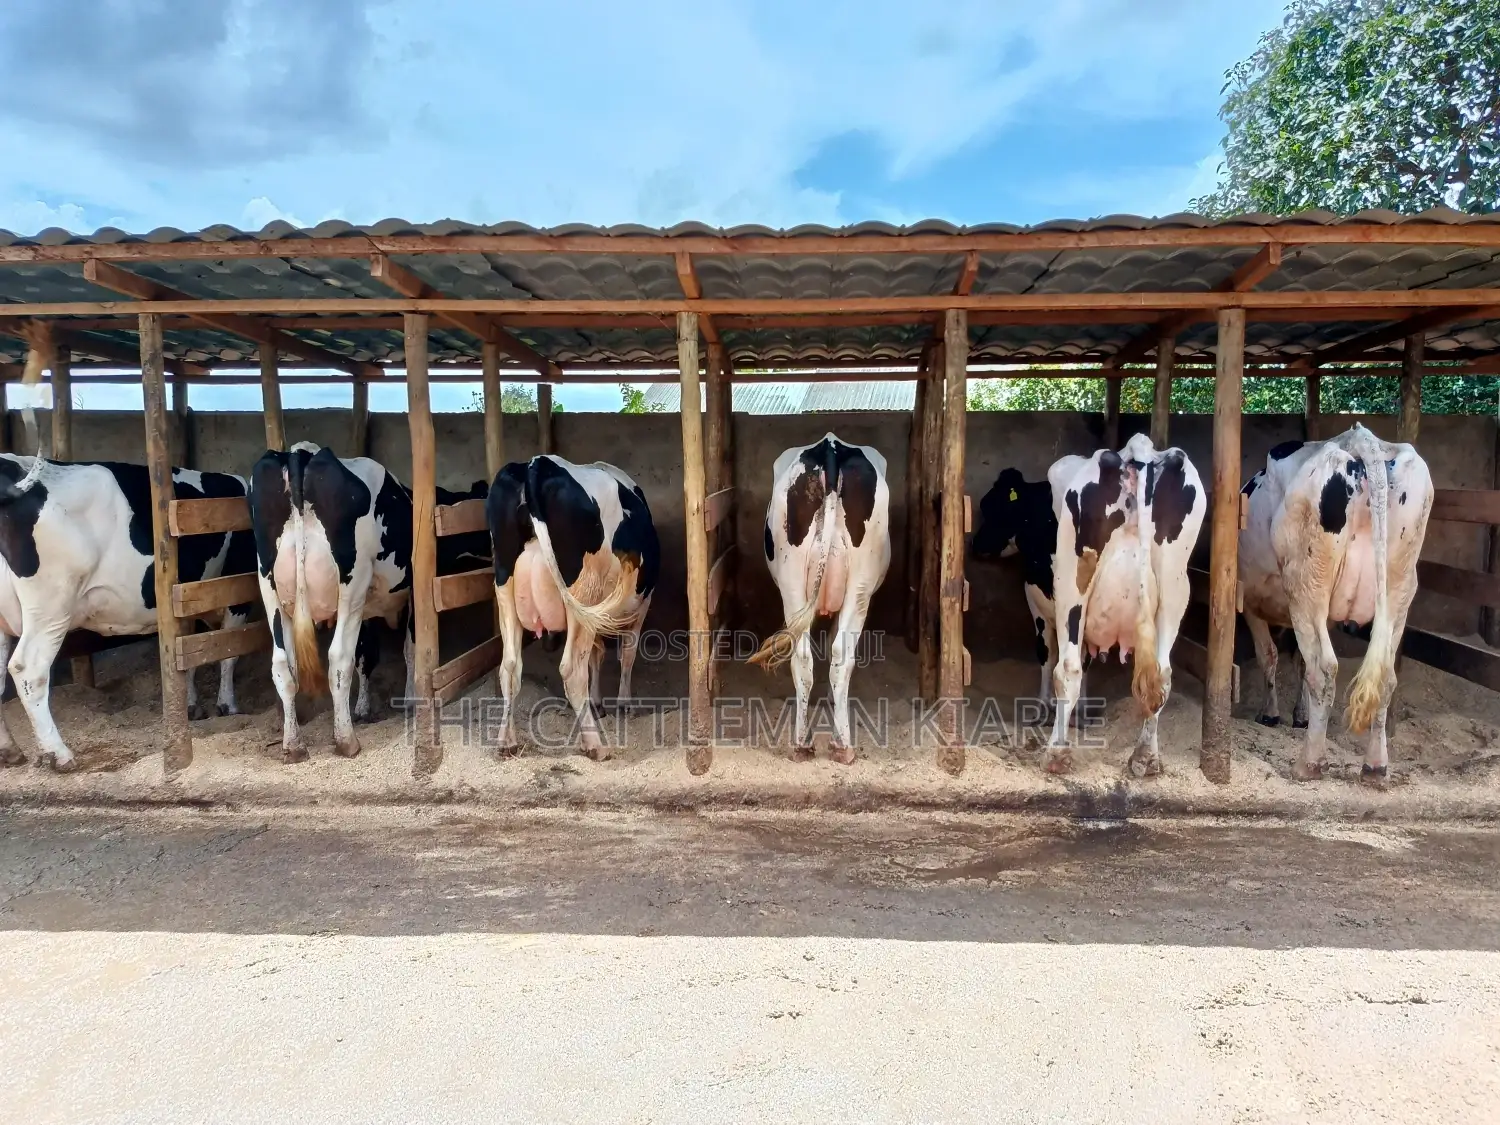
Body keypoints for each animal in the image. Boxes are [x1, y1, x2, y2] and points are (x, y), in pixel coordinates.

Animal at [0, 455, 256, 772]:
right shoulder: (238, 593)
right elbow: (229, 652)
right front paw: (228, 705)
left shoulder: (185, 603)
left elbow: (187, 660)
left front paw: (190, 704)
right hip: (51, 605)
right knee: (29, 670)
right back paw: (59, 754)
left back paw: (10, 750)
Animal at [487, 455, 659, 758]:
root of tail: (537, 464)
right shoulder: (641, 606)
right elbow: (627, 654)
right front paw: (623, 704)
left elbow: (597, 656)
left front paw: (599, 703)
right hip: (583, 589)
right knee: (571, 670)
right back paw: (595, 745)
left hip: (505, 584)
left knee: (509, 666)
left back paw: (506, 742)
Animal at [747, 434, 891, 764]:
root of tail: (831, 447)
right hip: (860, 585)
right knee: (841, 655)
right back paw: (841, 744)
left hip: (792, 583)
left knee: (804, 656)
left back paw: (803, 743)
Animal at [1044, 434, 1206, 777]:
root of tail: (1137, 452)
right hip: (1175, 584)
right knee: (1162, 674)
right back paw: (1146, 757)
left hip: (1071, 579)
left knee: (1068, 668)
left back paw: (1056, 753)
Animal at [1239, 424, 1433, 784]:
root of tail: (1360, 438)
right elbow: (1297, 662)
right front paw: (1299, 715)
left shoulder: (1248, 603)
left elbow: (1270, 656)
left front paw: (1271, 714)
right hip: (1400, 590)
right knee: (1386, 677)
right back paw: (1375, 765)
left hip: (1306, 584)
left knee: (1324, 668)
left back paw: (1309, 763)